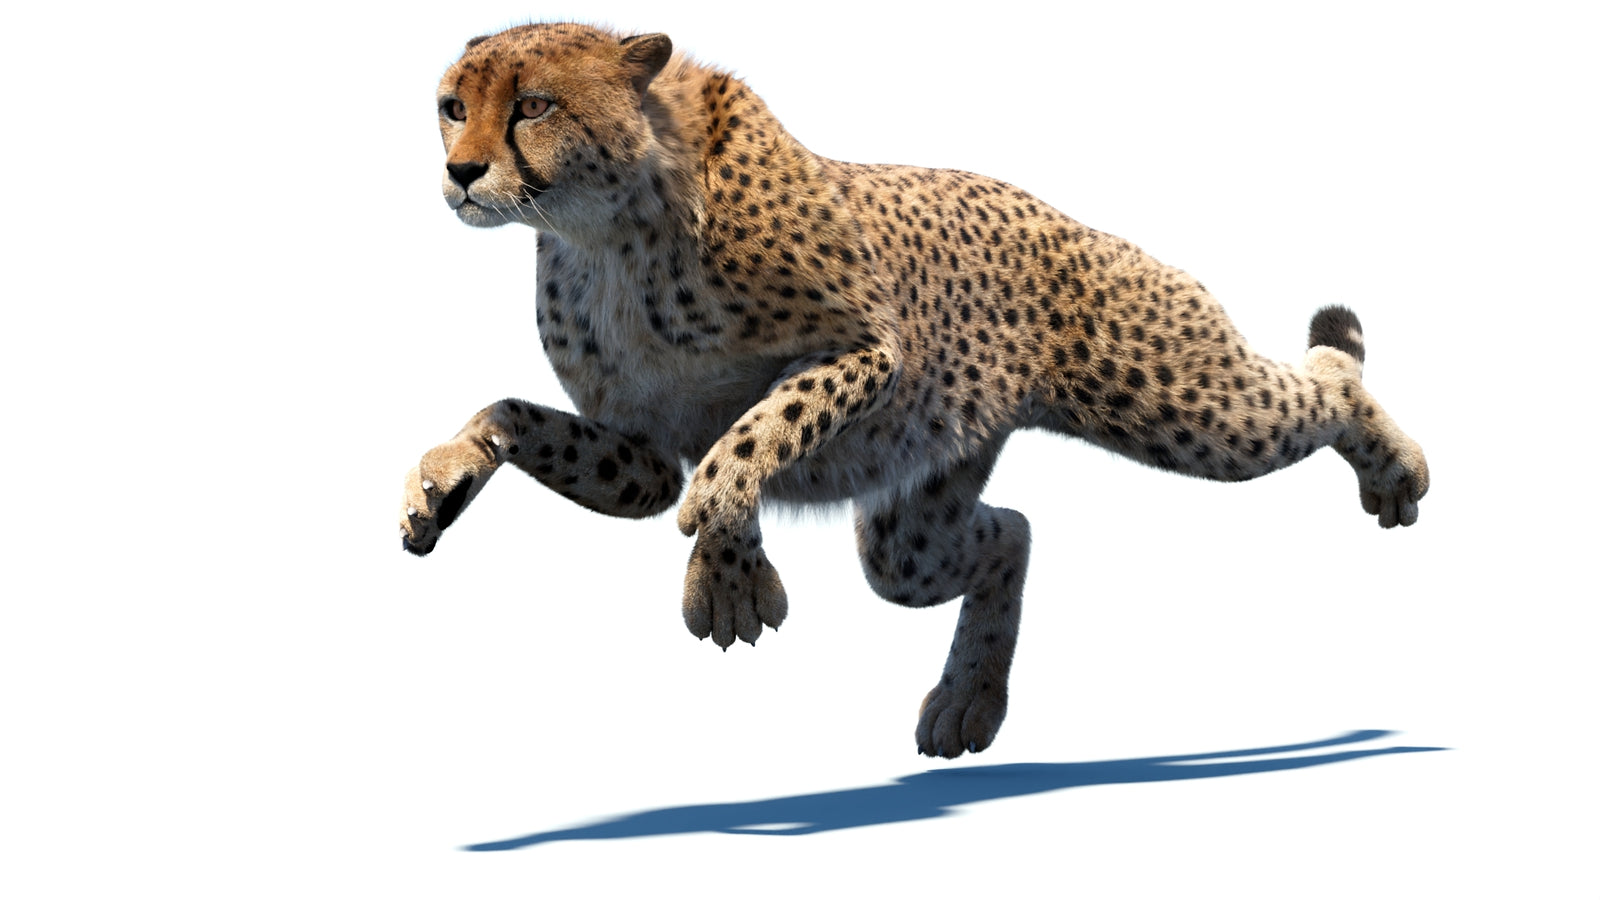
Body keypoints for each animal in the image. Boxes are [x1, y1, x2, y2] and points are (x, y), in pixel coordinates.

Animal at [400, 22, 1429, 759]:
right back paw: (969, 700)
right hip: (912, 525)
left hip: (1189, 402)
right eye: (452, 105)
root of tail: (1072, 218)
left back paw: (1398, 469)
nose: (460, 172)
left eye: (533, 105)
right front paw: (441, 480)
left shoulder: (870, 349)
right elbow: (517, 416)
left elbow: (753, 435)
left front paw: (726, 576)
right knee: (1009, 532)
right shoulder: (642, 452)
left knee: (1324, 386)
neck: (607, 230)